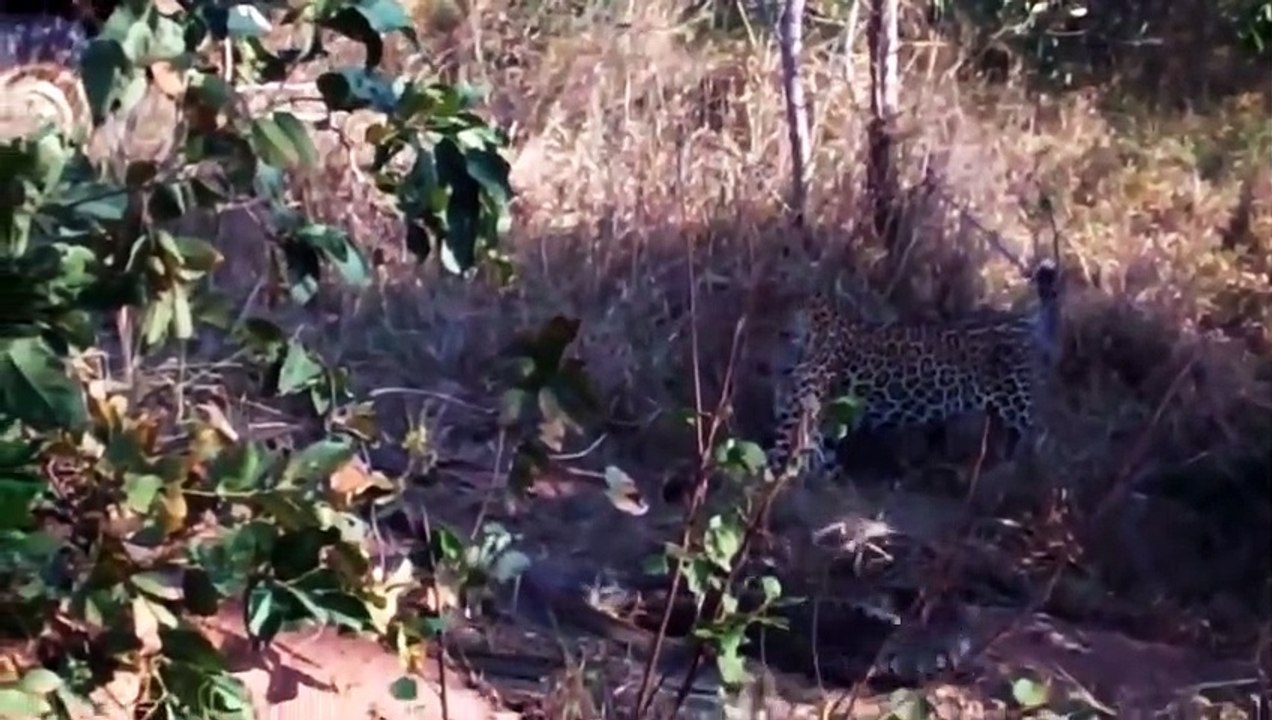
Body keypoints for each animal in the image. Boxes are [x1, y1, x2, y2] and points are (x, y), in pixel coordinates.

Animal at [765, 260, 1063, 485]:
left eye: (783, 327)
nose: (770, 364)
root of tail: (1027, 322)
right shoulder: (809, 415)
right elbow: (817, 458)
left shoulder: (800, 412)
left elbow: (781, 459)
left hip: (1022, 402)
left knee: (1050, 440)